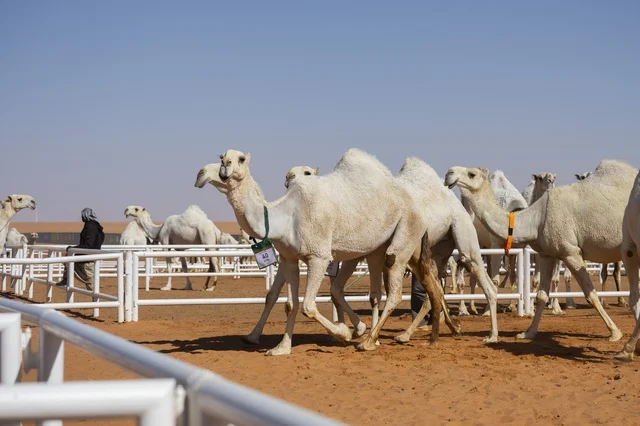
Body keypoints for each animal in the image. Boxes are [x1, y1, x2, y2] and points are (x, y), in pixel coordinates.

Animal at [195, 149, 443, 355]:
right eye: (221, 157)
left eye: (239, 159)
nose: (201, 173)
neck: (284, 215)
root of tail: (416, 204)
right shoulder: (289, 259)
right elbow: (290, 304)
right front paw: (281, 348)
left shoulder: (318, 257)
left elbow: (308, 305)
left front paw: (343, 333)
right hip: (373, 250)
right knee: (382, 291)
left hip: (406, 233)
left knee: (395, 288)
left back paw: (370, 341)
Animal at [445, 159, 638, 342]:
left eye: (471, 174)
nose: (449, 173)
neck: (536, 219)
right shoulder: (548, 254)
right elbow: (541, 294)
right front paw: (528, 333)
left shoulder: (571, 252)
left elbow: (591, 294)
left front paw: (615, 333)